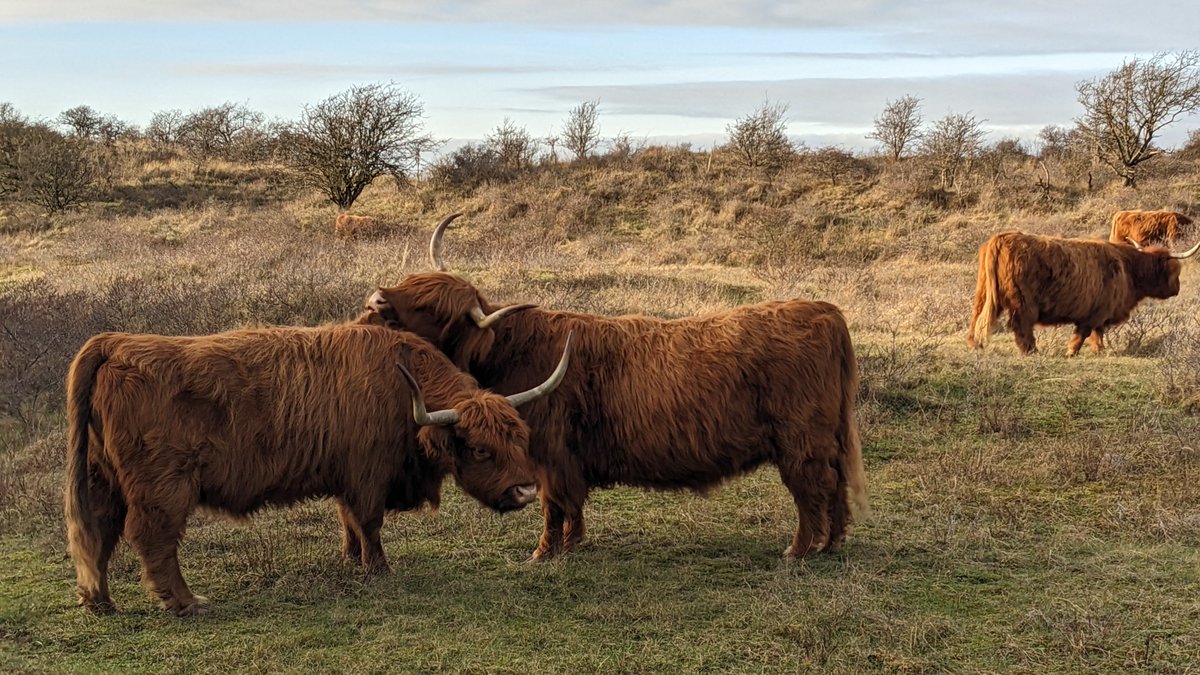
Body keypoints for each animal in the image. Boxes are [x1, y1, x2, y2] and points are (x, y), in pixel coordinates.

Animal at [65, 317, 571, 612]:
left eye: (520, 439)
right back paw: (186, 602)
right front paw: (378, 571)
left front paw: (351, 560)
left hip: (102, 478)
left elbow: (348, 522)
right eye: (480, 449)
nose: (526, 490)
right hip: (163, 488)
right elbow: (369, 523)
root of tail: (117, 343)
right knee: (153, 540)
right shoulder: (367, 475)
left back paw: (100, 601)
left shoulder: (346, 477)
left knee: (99, 534)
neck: (402, 389)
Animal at [360, 212, 868, 559]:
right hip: (824, 439)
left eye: (433, 309)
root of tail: (824, 310)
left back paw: (798, 551)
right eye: (411, 282)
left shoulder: (548, 453)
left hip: (799, 441)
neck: (513, 351)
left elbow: (553, 504)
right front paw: (573, 545)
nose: (376, 300)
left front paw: (543, 554)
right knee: (835, 485)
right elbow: (570, 505)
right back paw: (832, 545)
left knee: (812, 489)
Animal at [964, 230, 1200, 355]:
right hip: (1023, 302)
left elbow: (1098, 333)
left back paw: (974, 344)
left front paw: (1099, 350)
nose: (1177, 290)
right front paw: (1071, 352)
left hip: (984, 292)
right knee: (1021, 326)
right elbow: (1084, 333)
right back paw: (1031, 351)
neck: (1127, 268)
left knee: (977, 317)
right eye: (1175, 271)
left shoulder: (1102, 312)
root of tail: (1003, 237)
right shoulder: (1095, 311)